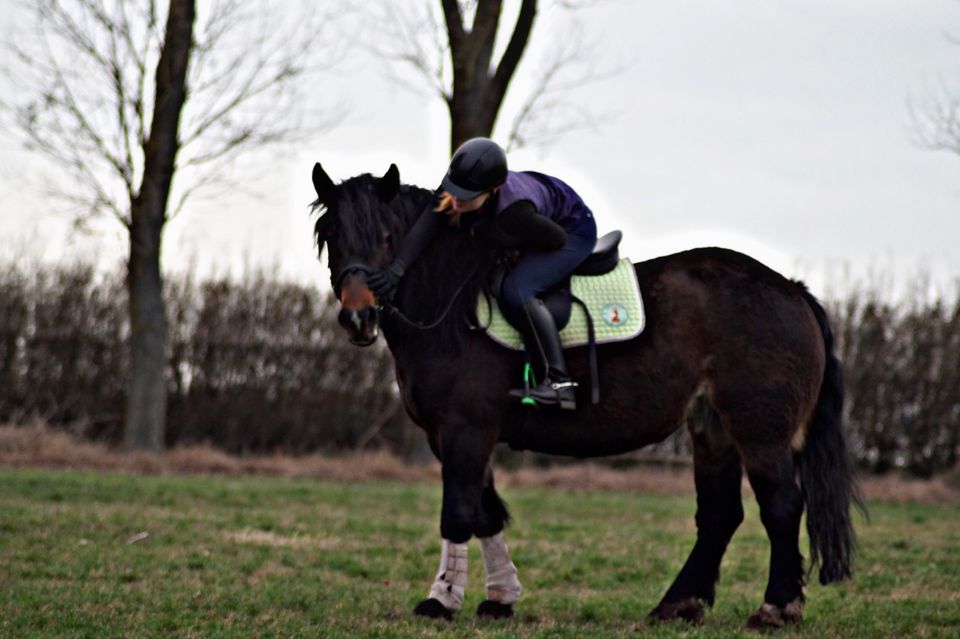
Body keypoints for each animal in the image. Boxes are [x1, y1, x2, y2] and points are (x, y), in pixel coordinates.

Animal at [310, 161, 864, 632]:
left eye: (387, 237)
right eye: (332, 235)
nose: (358, 317)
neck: (452, 303)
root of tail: (792, 289)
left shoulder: (466, 429)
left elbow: (460, 512)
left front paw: (441, 600)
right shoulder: (453, 435)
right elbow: (487, 512)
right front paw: (500, 599)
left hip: (759, 430)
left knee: (782, 506)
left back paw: (776, 609)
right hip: (713, 429)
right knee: (720, 515)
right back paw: (677, 604)